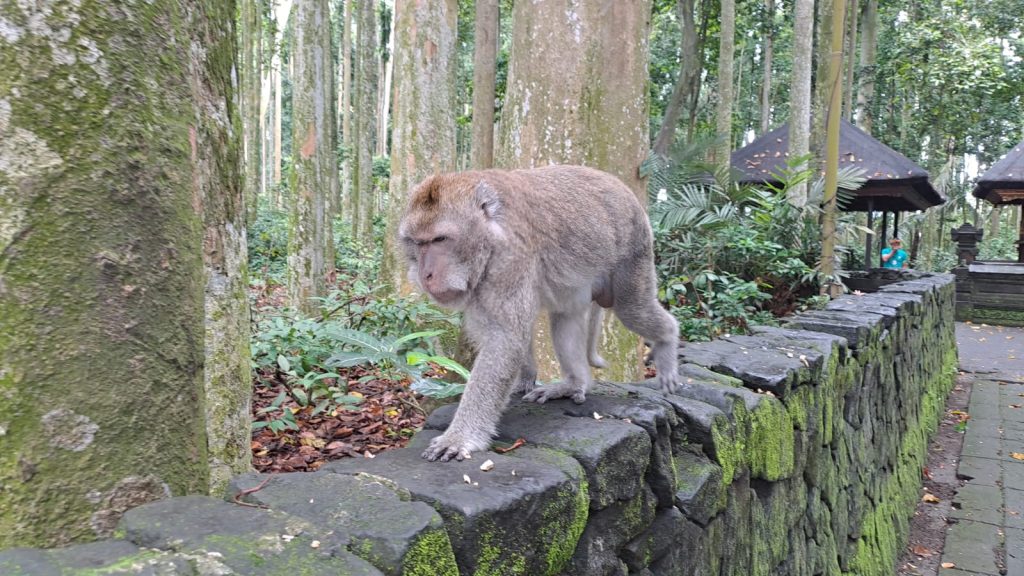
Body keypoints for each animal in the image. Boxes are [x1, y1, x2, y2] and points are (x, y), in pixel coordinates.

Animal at [398, 165, 680, 462]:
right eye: (417, 243)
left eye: (440, 239)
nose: (425, 274)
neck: (490, 234)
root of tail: (621, 186)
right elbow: (505, 335)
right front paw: (525, 377)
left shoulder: (510, 261)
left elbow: (505, 339)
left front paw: (460, 437)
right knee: (565, 319)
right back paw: (574, 383)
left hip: (634, 246)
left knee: (632, 309)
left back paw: (667, 343)